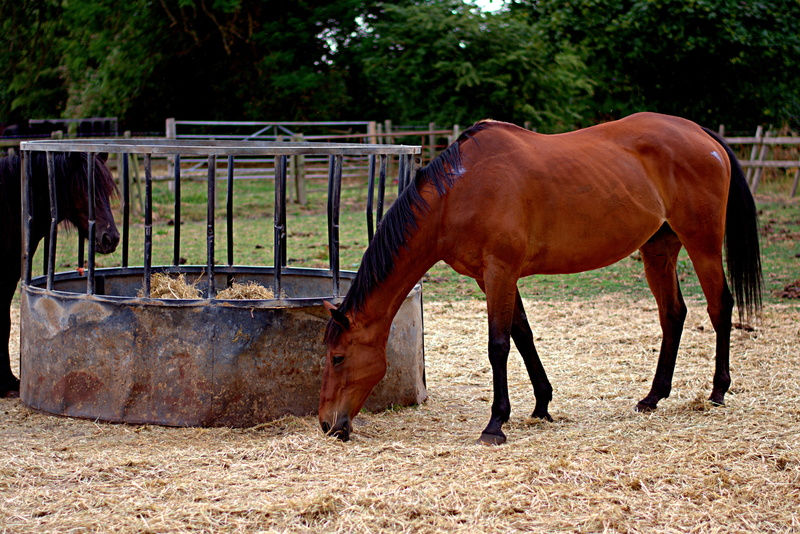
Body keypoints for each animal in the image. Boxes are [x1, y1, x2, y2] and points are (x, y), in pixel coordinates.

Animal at [319, 112, 762, 444]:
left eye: (337, 357)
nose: (327, 424)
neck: (460, 192)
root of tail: (701, 134)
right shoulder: (492, 277)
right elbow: (523, 335)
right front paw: (541, 405)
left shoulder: (500, 271)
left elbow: (498, 345)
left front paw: (495, 425)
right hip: (659, 249)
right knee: (672, 314)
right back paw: (652, 397)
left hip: (702, 243)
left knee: (720, 306)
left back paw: (718, 390)